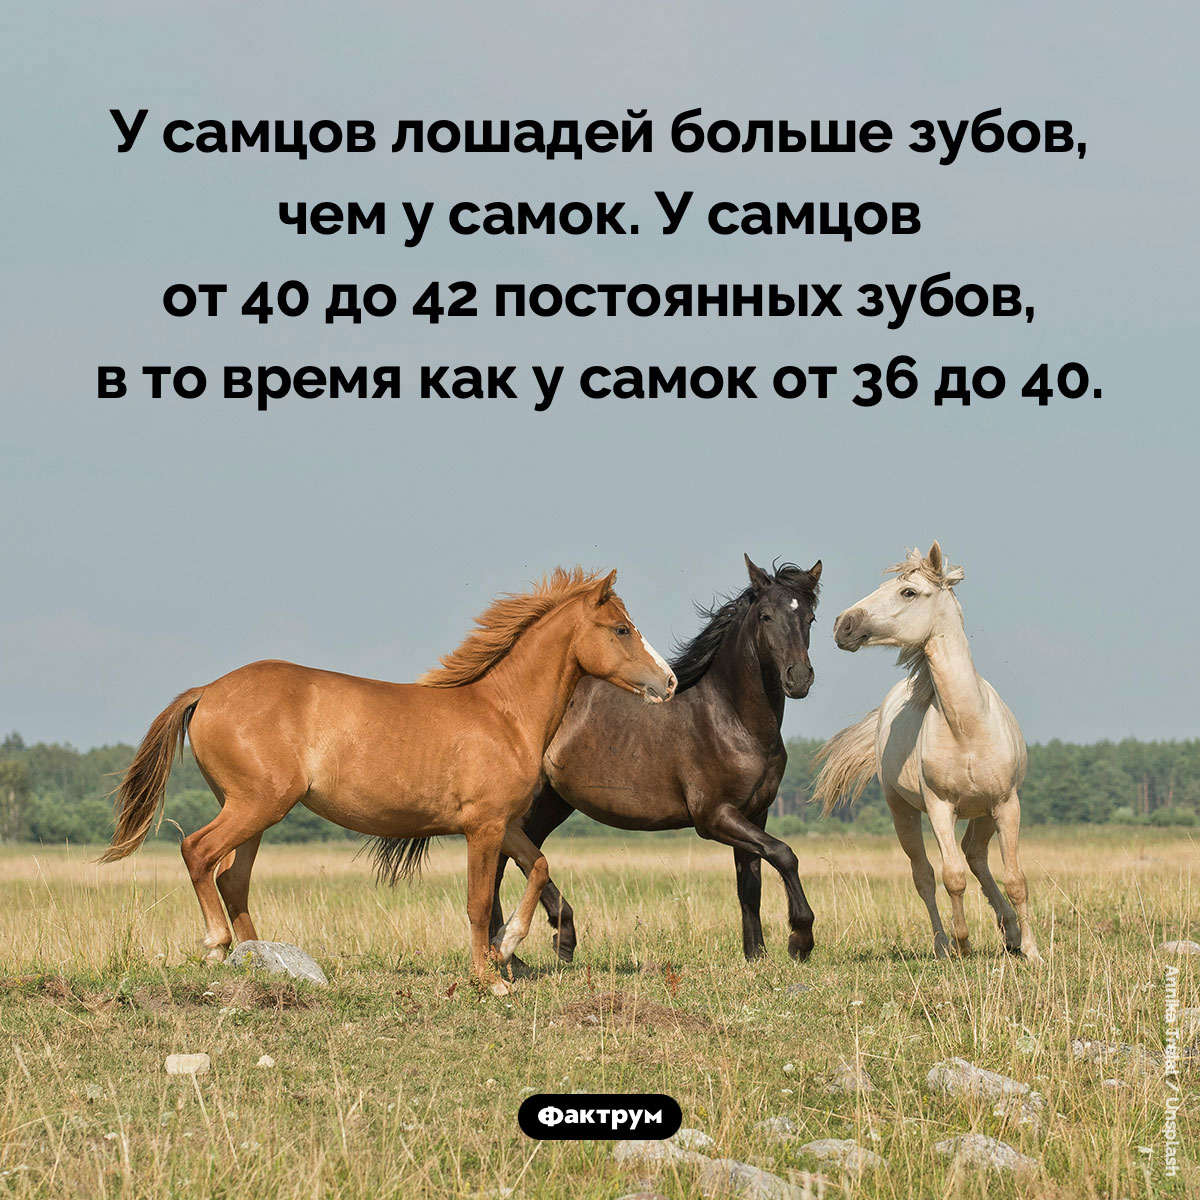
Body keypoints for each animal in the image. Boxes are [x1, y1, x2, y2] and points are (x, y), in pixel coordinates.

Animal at [103, 567, 677, 993]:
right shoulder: (483, 828)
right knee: (198, 853)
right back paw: (218, 947)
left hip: (256, 812)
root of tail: (208, 690)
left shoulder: (505, 824)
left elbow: (538, 867)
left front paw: (508, 946)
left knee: (232, 878)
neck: (504, 713)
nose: (669, 682)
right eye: (622, 629)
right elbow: (477, 902)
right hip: (254, 805)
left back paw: (259, 958)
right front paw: (489, 978)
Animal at [490, 555, 823, 963]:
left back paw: (551, 940)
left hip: (553, 802)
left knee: (524, 856)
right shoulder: (714, 817)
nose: (799, 678)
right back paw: (513, 950)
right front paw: (800, 939)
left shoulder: (753, 814)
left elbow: (750, 884)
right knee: (499, 862)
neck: (731, 718)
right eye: (766, 616)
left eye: (810, 618)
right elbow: (784, 854)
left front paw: (755, 955)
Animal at [812, 542, 1041, 962]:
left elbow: (1016, 878)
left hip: (984, 812)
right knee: (926, 875)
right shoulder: (939, 808)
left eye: (908, 592)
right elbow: (952, 877)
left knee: (976, 855)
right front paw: (963, 944)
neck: (967, 728)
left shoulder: (1006, 804)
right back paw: (943, 944)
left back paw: (1011, 933)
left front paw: (1032, 951)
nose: (842, 625)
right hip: (902, 811)